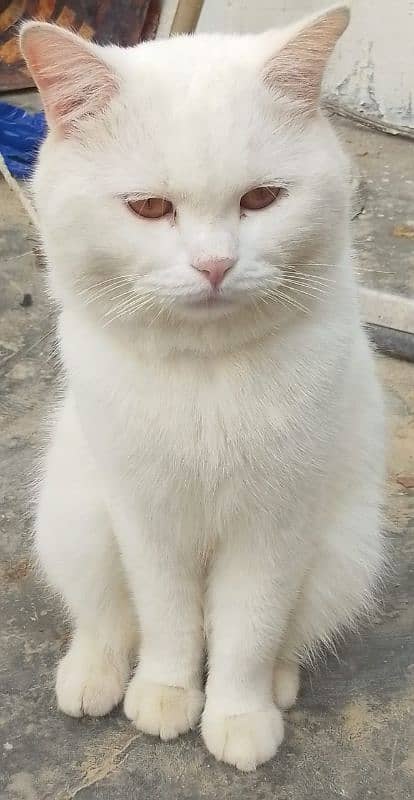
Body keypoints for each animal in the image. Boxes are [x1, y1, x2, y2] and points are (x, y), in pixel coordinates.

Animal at [21, 3, 384, 772]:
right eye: (149, 208)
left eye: (261, 199)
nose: (215, 265)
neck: (206, 374)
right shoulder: (146, 518)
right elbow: (166, 620)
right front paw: (165, 693)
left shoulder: (275, 527)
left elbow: (248, 628)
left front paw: (238, 715)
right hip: (75, 514)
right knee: (105, 618)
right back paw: (92, 676)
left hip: (344, 551)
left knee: (284, 634)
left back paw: (277, 684)